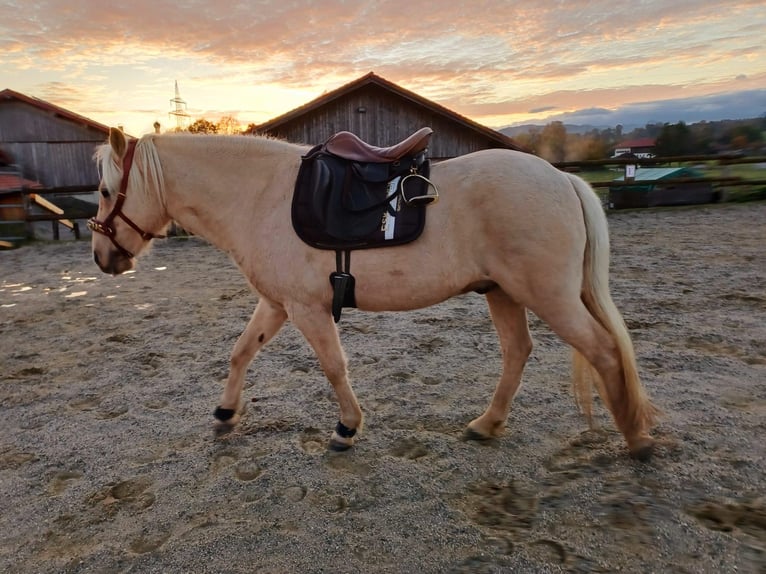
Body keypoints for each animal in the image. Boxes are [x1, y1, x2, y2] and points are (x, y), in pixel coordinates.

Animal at [90, 127, 658, 460]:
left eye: (103, 190)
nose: (102, 258)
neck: (260, 195)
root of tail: (563, 180)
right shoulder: (276, 304)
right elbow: (240, 353)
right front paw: (226, 413)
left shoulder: (306, 308)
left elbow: (333, 366)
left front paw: (347, 427)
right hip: (503, 292)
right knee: (519, 352)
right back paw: (487, 424)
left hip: (548, 296)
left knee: (604, 351)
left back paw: (636, 439)